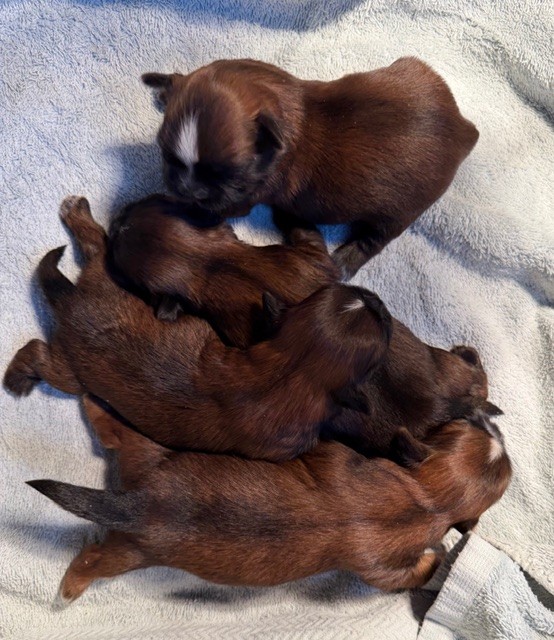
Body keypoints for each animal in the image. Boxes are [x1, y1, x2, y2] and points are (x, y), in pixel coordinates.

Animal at [27, 396, 511, 602]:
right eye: (466, 428)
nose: (492, 421)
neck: (428, 497)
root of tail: (140, 503)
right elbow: (421, 565)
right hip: (137, 528)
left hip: (138, 511)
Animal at [142, 57, 479, 277]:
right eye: (167, 155)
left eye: (228, 174)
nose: (188, 189)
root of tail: (463, 130)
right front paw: (165, 85)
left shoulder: (243, 196)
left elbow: (216, 208)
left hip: (401, 211)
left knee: (375, 239)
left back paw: (345, 260)